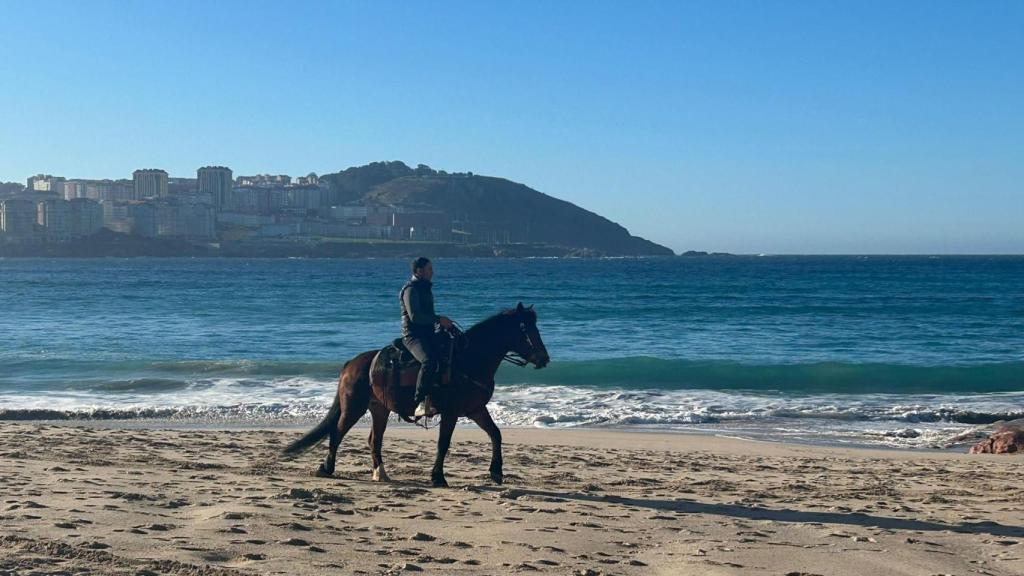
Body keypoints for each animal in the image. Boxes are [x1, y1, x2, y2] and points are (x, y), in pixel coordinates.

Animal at [284, 303, 548, 485]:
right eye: (525, 329)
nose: (544, 359)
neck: (469, 360)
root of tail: (352, 364)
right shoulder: (451, 412)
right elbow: (443, 443)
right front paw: (438, 477)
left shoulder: (475, 409)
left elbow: (496, 434)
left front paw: (496, 472)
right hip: (353, 407)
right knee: (337, 433)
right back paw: (326, 468)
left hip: (379, 409)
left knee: (374, 440)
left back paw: (381, 473)